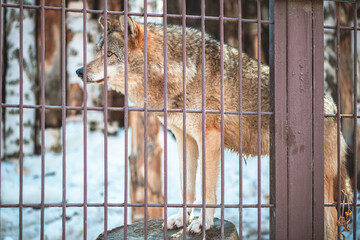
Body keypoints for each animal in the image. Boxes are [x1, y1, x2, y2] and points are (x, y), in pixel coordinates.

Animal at [76, 15, 354, 238]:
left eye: (109, 55)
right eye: (97, 51)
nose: (79, 71)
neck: (179, 75)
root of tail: (333, 106)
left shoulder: (208, 138)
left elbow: (207, 189)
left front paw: (203, 223)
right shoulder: (184, 138)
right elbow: (187, 187)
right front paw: (181, 218)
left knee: (332, 223)